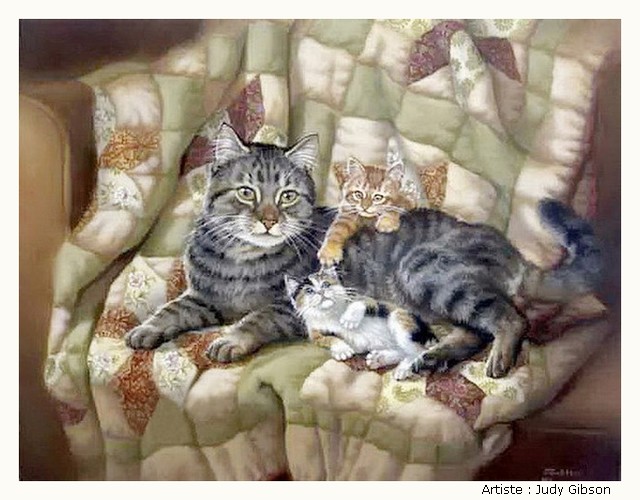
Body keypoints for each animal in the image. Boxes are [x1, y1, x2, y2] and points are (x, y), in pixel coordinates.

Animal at [284, 267, 438, 380]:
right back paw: (379, 359)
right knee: (406, 350)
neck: (330, 312)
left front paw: (349, 319)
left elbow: (361, 302)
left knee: (419, 350)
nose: (321, 292)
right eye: (309, 291)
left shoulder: (371, 302)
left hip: (399, 316)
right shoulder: (315, 334)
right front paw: (342, 349)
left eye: (326, 284)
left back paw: (403, 368)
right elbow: (328, 338)